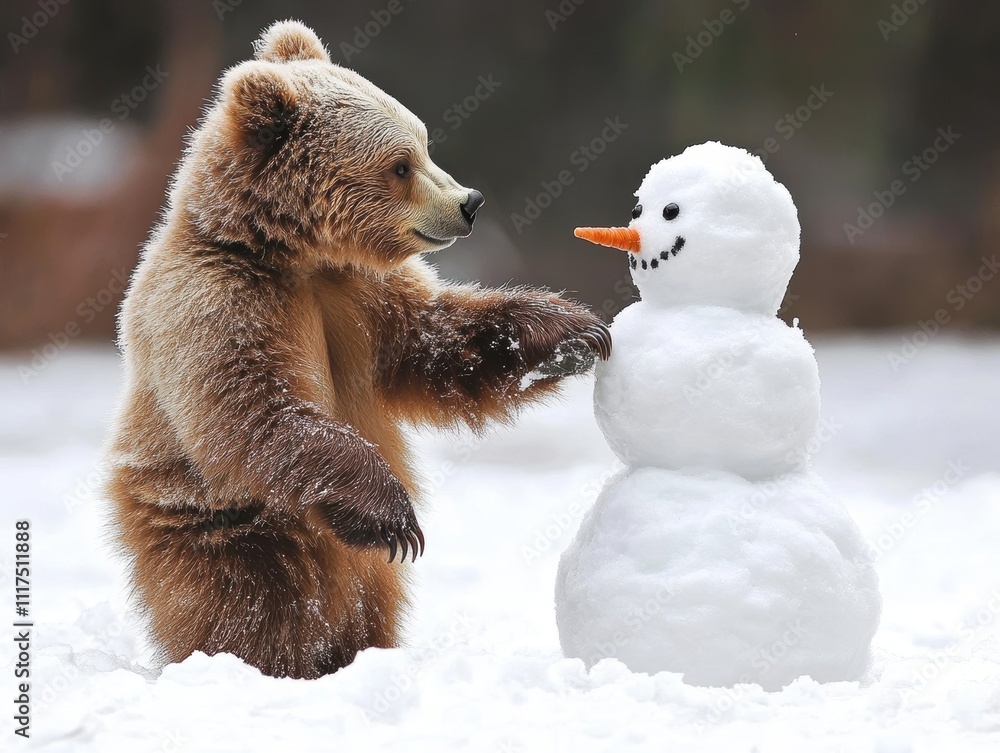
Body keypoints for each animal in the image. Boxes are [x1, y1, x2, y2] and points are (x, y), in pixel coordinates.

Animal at [103, 20, 612, 680]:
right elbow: (255, 410)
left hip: (364, 571)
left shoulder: (361, 298)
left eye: (423, 142)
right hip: (220, 523)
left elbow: (436, 342)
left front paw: (571, 333)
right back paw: (273, 662)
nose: (469, 202)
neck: (290, 254)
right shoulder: (217, 304)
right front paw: (392, 513)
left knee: (370, 601)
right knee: (254, 599)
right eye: (399, 164)